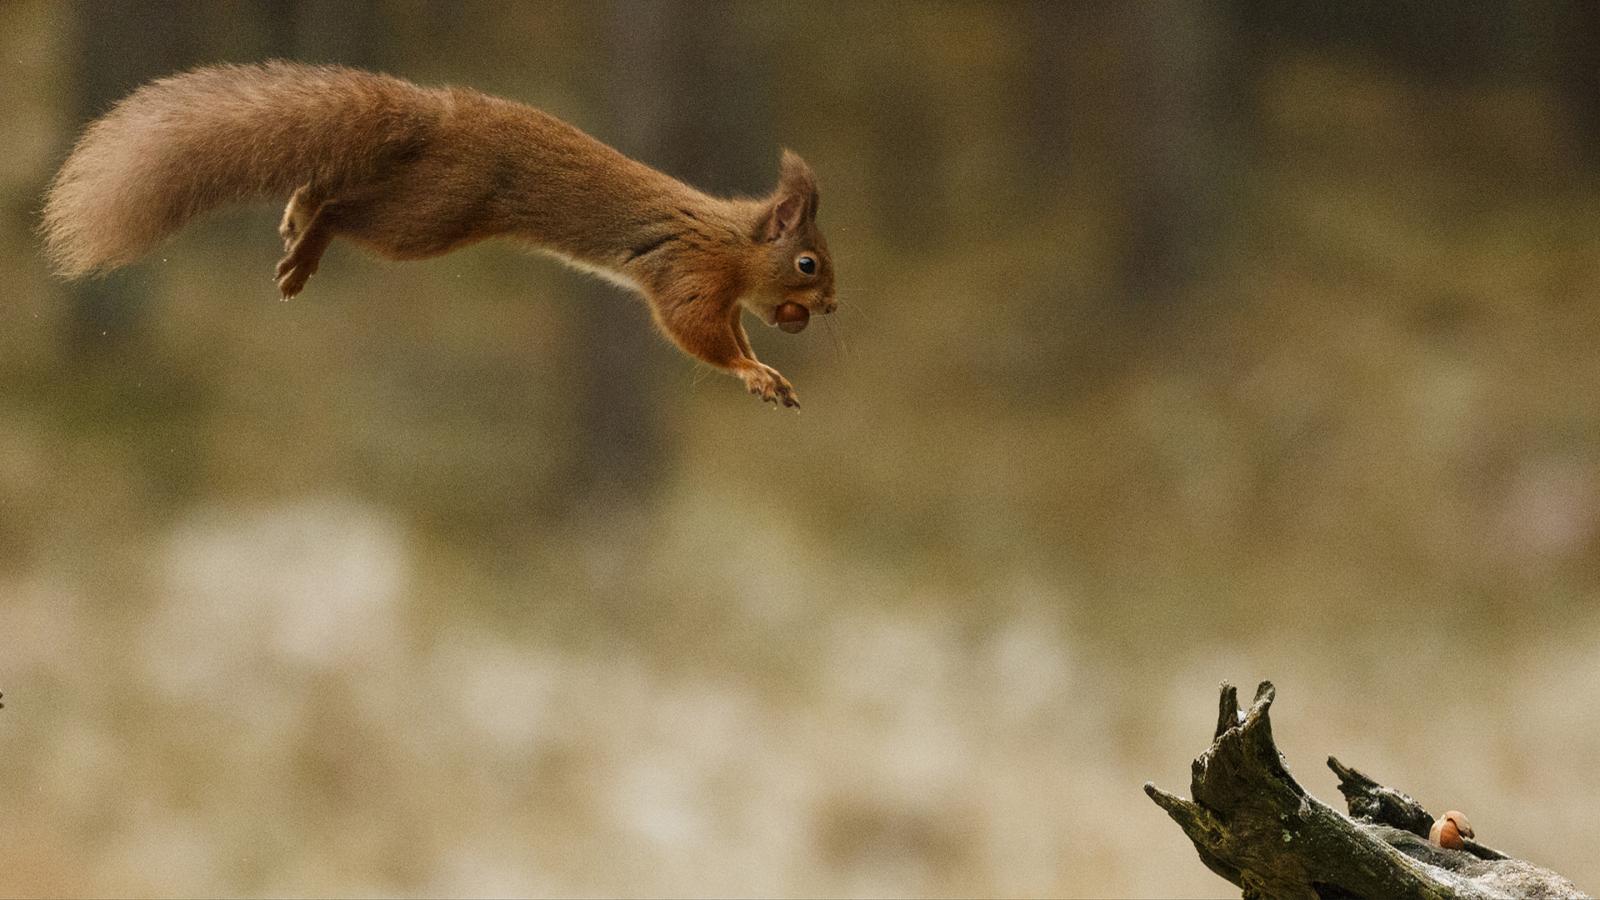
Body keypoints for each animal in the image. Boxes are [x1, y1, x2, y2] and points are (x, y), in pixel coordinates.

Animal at [41, 62, 837, 407]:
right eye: (807, 263)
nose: (830, 309)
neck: (735, 241)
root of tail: (441, 116)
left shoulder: (726, 296)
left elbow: (730, 332)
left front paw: (763, 367)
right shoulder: (691, 274)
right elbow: (697, 333)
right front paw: (756, 374)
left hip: (418, 195)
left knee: (328, 187)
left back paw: (296, 215)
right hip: (433, 214)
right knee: (345, 212)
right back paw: (305, 252)